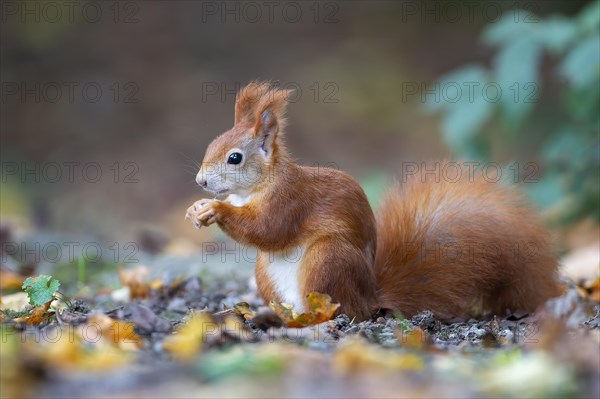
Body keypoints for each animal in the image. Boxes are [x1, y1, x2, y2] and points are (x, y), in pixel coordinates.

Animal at [184, 82, 564, 322]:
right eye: (212, 144)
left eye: (234, 158)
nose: (201, 182)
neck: (255, 187)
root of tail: (370, 298)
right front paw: (195, 209)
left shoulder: (290, 201)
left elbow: (268, 229)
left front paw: (215, 209)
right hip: (267, 273)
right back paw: (271, 313)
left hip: (328, 259)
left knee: (341, 310)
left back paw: (311, 317)